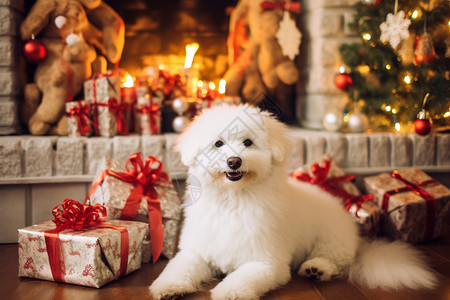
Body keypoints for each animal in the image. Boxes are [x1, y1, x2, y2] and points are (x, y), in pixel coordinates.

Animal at [149, 104, 438, 298]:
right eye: (218, 144)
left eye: (248, 142)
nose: (234, 161)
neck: (234, 199)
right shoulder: (197, 251)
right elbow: (178, 268)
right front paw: (166, 287)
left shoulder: (266, 262)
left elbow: (241, 278)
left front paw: (228, 292)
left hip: (331, 239)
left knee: (334, 260)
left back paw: (316, 269)